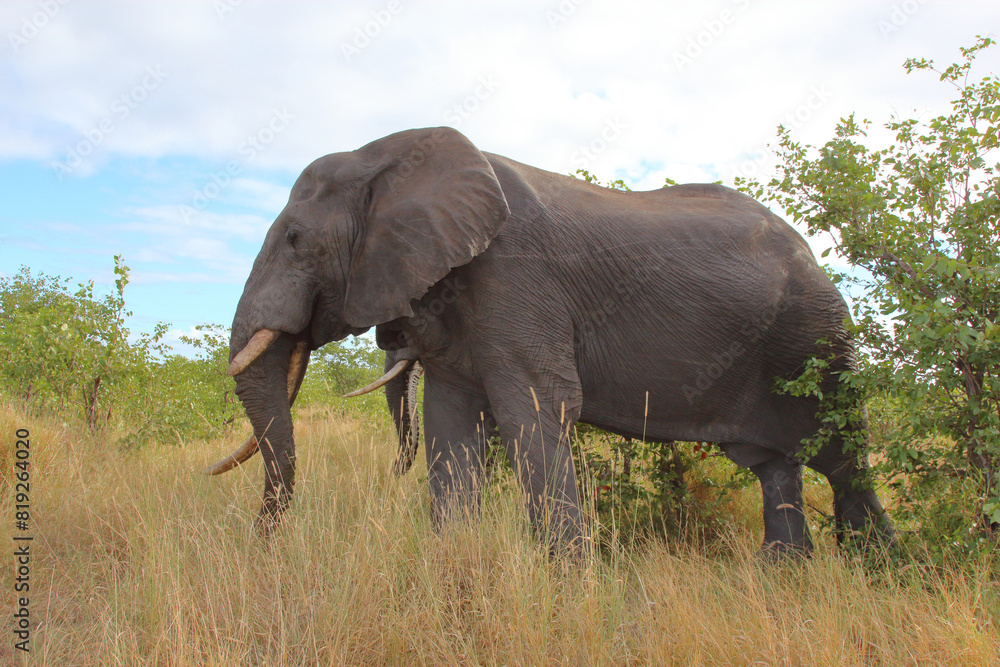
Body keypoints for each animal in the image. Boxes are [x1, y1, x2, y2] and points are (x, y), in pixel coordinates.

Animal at [210, 126, 895, 556]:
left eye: (295, 239)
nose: (260, 547)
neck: (387, 155)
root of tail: (813, 255)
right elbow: (452, 422)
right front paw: (453, 564)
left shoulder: (517, 275)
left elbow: (534, 409)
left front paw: (565, 584)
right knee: (775, 467)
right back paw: (783, 577)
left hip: (817, 338)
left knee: (843, 459)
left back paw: (879, 572)